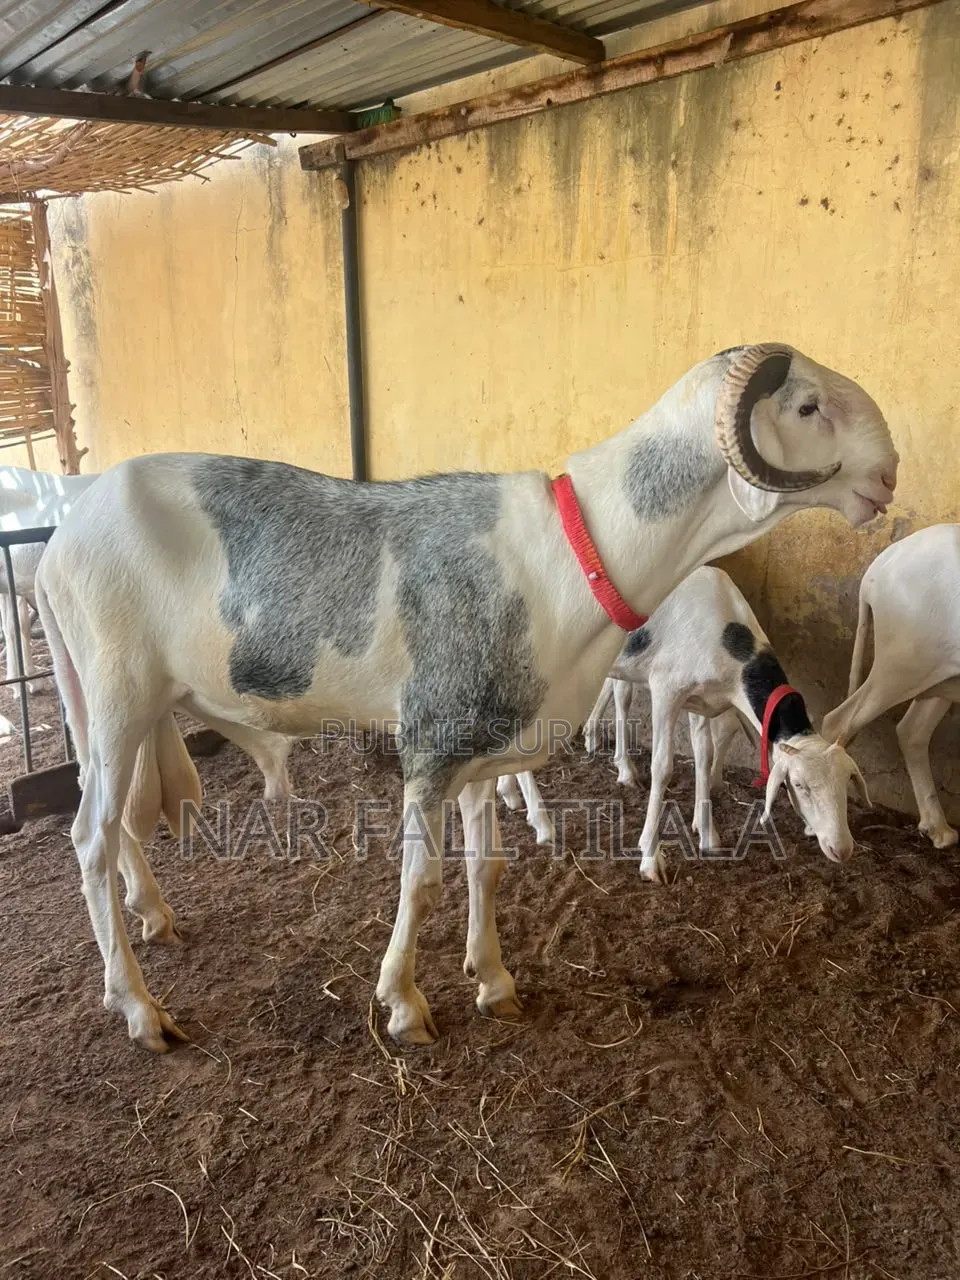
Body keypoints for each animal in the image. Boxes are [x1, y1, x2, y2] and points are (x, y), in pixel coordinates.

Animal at [577, 567, 870, 881]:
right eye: (799, 785)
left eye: (847, 782)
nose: (841, 849)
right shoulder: (667, 689)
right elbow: (663, 768)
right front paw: (650, 857)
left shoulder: (700, 700)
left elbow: (704, 756)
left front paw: (706, 833)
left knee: (618, 689)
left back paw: (614, 758)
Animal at [821, 524, 960, 850]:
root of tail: (879, 567)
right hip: (901, 667)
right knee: (838, 721)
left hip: (939, 677)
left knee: (912, 731)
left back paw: (938, 829)